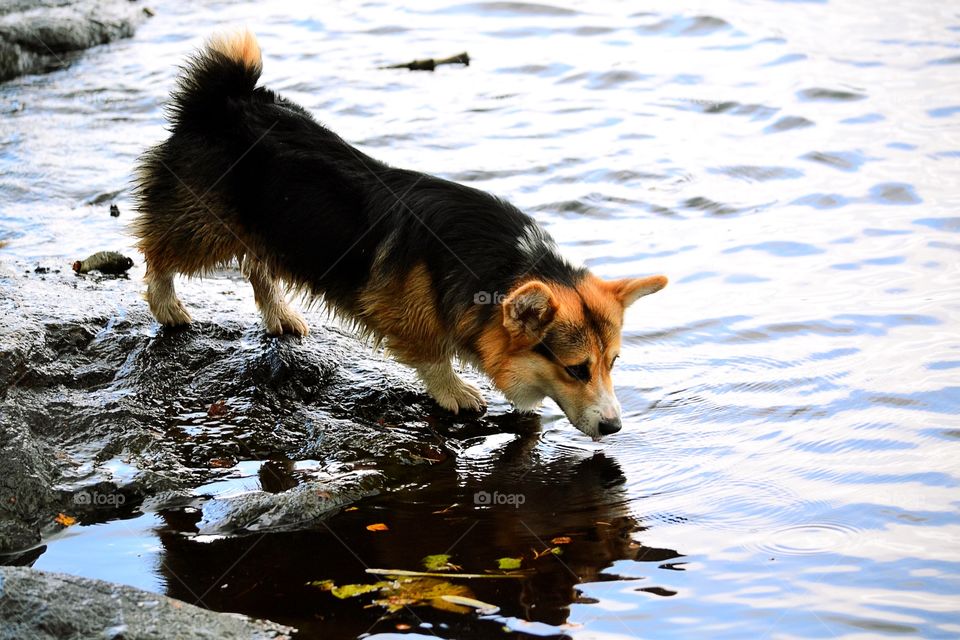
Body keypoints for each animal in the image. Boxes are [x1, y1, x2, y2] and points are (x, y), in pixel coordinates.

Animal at [131, 30, 664, 440]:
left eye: (613, 362)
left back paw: (280, 316)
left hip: (274, 227)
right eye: (576, 369)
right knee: (158, 255)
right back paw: (168, 306)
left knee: (261, 267)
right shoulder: (408, 313)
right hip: (205, 228)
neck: (504, 264)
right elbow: (432, 355)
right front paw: (455, 392)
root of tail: (222, 101)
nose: (615, 428)